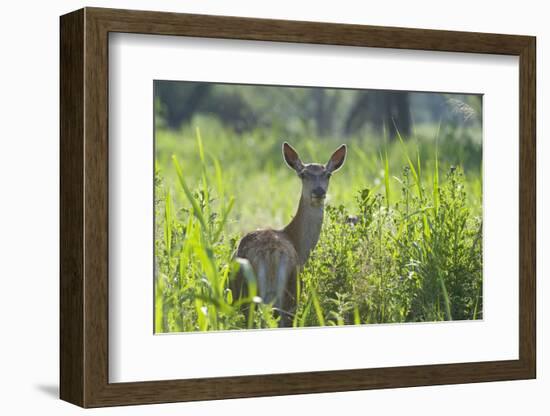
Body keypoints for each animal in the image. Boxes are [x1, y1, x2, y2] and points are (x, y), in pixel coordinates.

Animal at [231, 141, 348, 326]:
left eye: (328, 174)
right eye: (303, 174)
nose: (319, 191)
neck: (296, 241)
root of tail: (270, 254)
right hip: (288, 292)